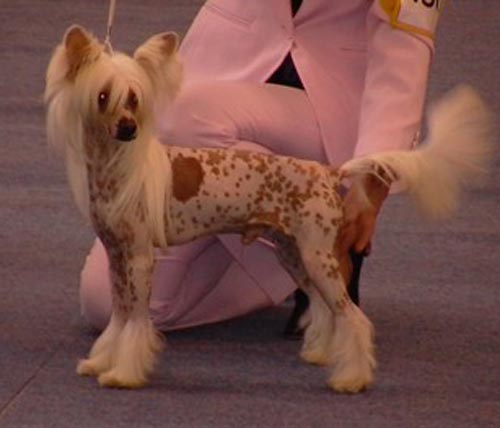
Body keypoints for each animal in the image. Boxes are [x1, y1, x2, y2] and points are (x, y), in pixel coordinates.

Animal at [44, 25, 492, 393]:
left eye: (135, 100)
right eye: (103, 97)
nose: (128, 129)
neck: (118, 168)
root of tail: (328, 171)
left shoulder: (138, 257)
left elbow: (135, 322)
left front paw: (123, 373)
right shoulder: (118, 256)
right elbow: (119, 317)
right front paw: (100, 362)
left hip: (316, 256)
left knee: (352, 316)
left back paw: (352, 378)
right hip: (293, 253)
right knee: (324, 308)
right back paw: (322, 354)